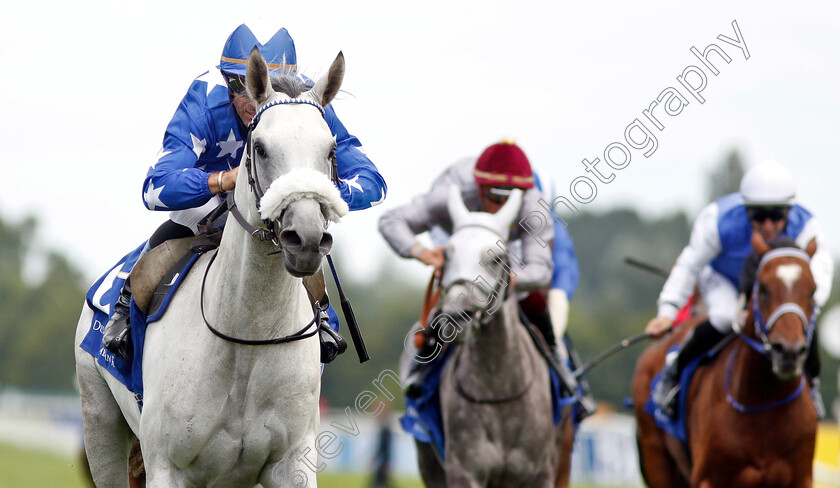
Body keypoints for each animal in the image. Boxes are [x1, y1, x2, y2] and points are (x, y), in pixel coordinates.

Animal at [74, 47, 346, 486]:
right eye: (260, 147)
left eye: (331, 149)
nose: (304, 239)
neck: (248, 337)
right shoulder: (167, 467)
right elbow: (159, 181)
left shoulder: (292, 462)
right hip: (99, 422)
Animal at [416, 186, 572, 488]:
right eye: (447, 254)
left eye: (497, 258)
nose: (456, 316)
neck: (498, 389)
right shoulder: (464, 471)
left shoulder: (541, 472)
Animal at [632, 234, 816, 486]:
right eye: (763, 288)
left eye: (813, 290)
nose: (788, 351)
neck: (762, 403)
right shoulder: (709, 478)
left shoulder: (800, 478)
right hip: (656, 457)